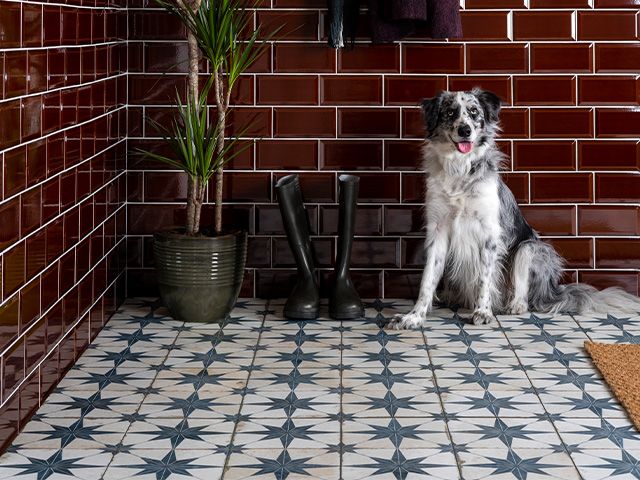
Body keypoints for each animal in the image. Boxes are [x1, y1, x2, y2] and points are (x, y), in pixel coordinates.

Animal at [388, 89, 640, 330]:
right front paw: (414, 317)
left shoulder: (490, 234)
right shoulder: (438, 230)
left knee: (524, 289)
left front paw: (483, 312)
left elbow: (485, 278)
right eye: (450, 112)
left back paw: (514, 305)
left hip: (530, 248)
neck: (461, 169)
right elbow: (427, 280)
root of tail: (551, 291)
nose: (465, 130)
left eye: (474, 112)